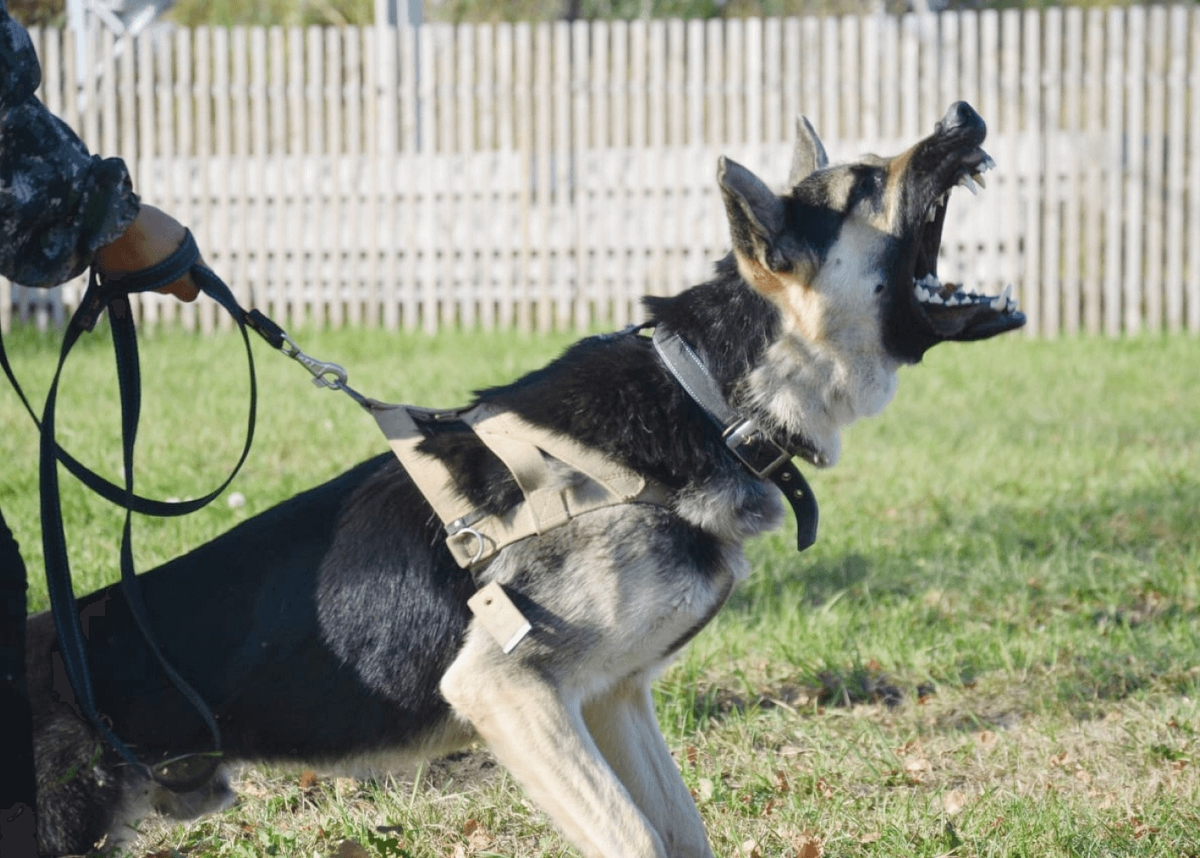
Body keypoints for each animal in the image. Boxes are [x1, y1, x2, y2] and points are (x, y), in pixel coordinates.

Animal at [25, 102, 1022, 858]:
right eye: (864, 184)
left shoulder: (612, 696)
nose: (966, 115)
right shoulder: (509, 693)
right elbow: (635, 838)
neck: (707, 396)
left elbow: (680, 834)